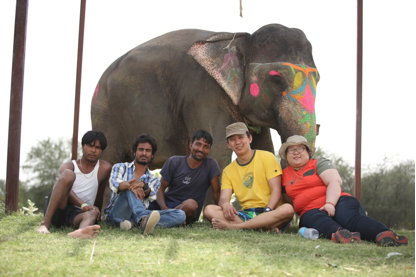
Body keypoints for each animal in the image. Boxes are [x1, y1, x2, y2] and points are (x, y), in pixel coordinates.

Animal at [91, 23, 318, 205]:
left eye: (319, 80)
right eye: (276, 80)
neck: (241, 38)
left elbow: (264, 149)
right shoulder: (203, 94)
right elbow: (217, 151)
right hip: (105, 111)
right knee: (108, 161)